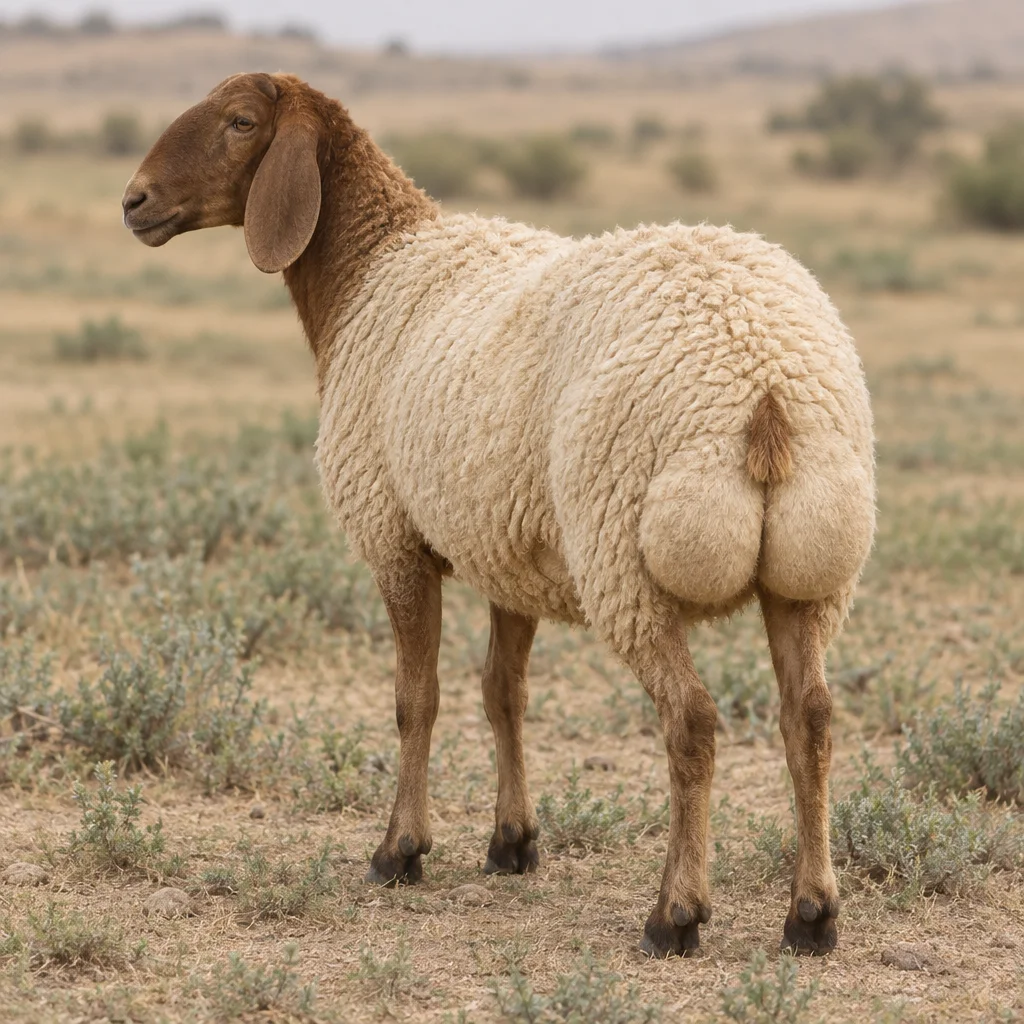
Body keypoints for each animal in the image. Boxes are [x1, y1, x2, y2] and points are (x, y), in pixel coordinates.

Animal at [122, 72, 876, 958]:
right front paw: (512, 842)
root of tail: (763, 383)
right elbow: (501, 693)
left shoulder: (395, 537)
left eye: (241, 121)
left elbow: (416, 699)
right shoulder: (507, 550)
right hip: (810, 576)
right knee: (810, 720)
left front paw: (400, 850)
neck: (369, 270)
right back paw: (812, 914)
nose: (135, 201)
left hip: (625, 557)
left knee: (691, 723)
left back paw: (676, 914)